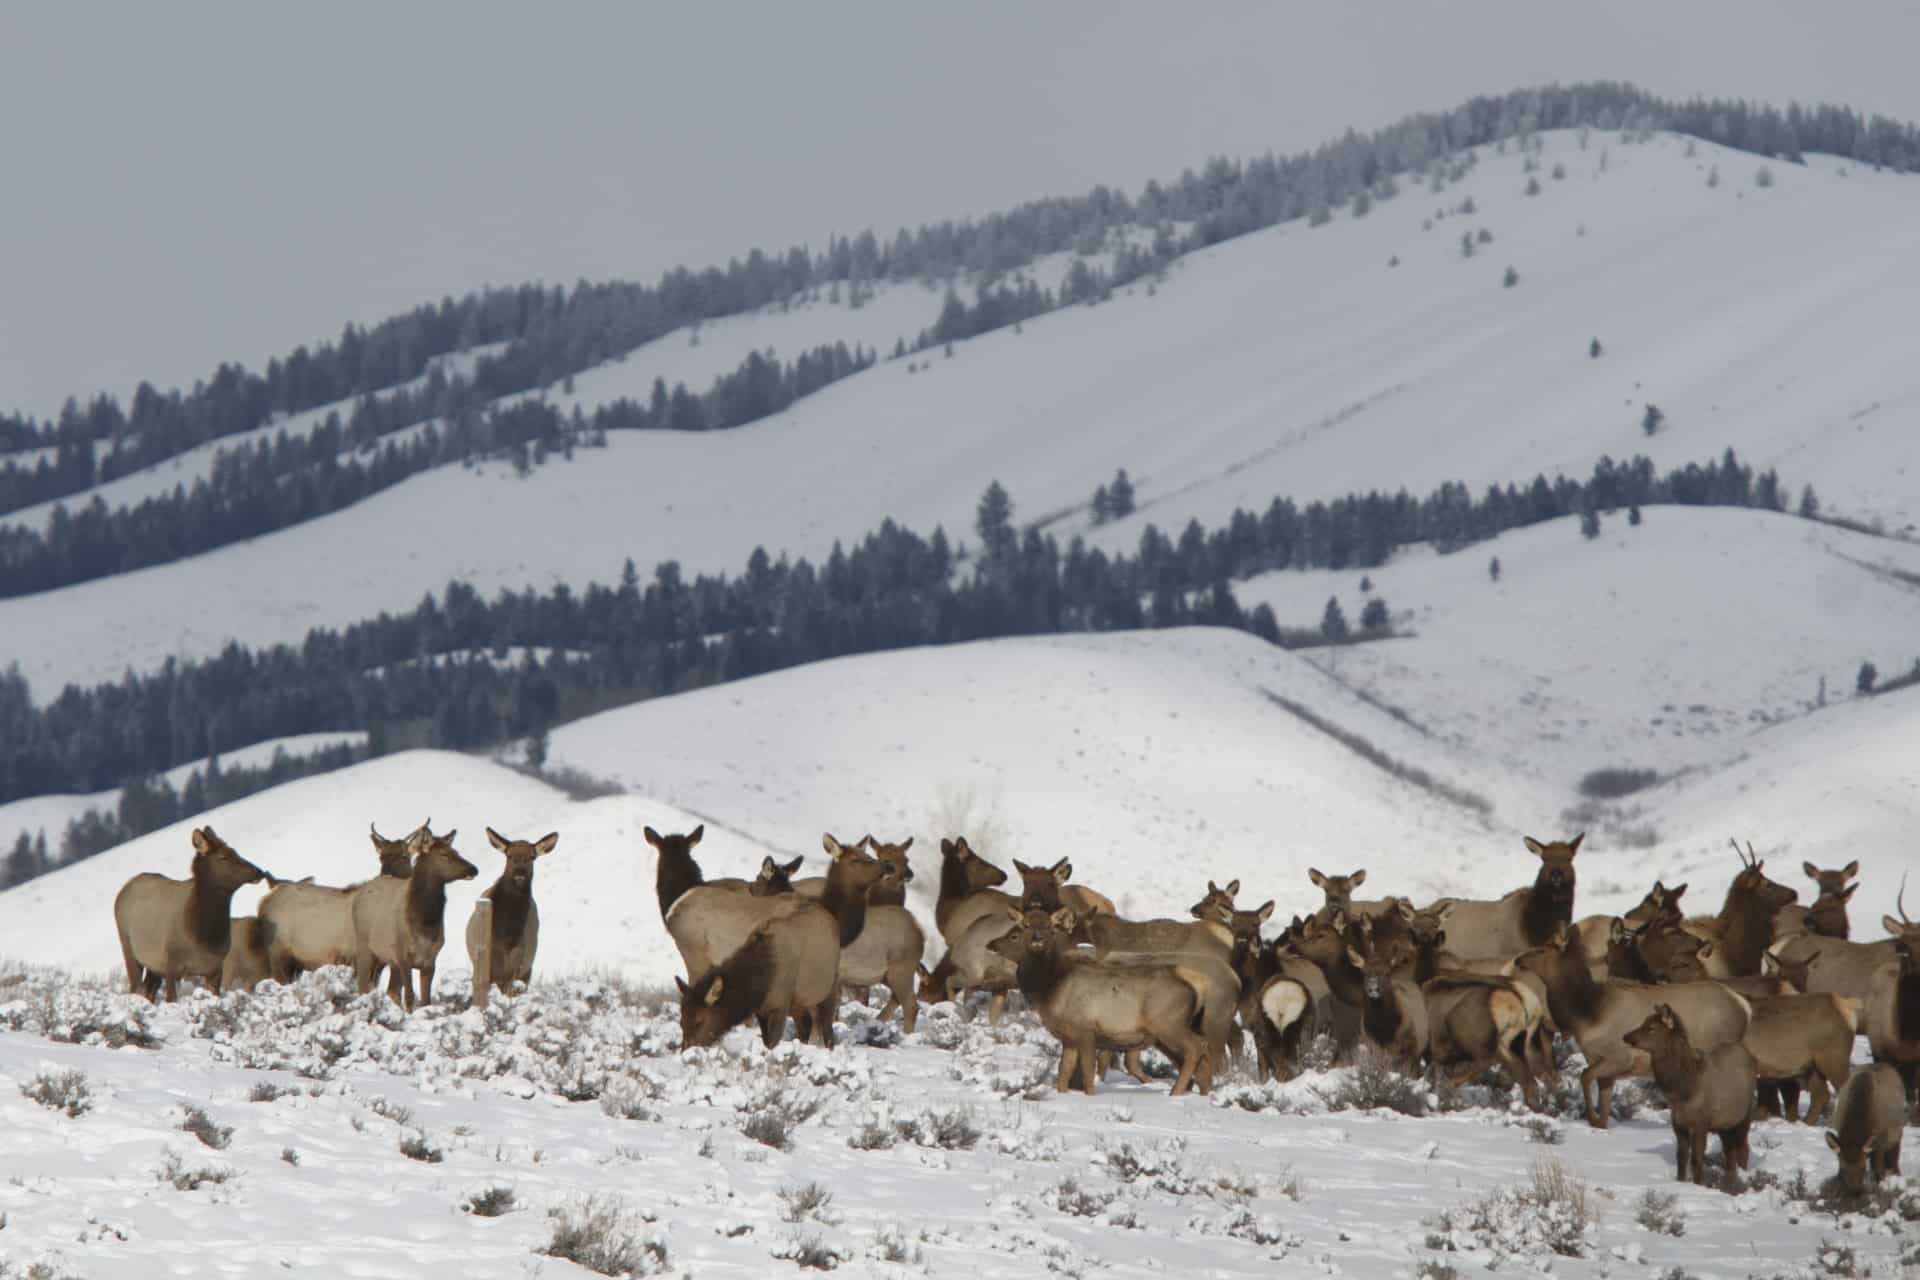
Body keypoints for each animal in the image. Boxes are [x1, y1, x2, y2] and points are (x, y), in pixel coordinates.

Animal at [113, 827, 269, 1003]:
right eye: (223, 857)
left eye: (236, 852)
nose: (258, 872)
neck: (203, 936)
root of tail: (123, 890)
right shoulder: (171, 964)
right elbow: (171, 998)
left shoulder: (215, 967)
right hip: (129, 949)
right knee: (135, 988)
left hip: (153, 966)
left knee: (148, 991)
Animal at [351, 826, 478, 1010]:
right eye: (444, 854)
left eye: (456, 851)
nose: (474, 869)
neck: (424, 925)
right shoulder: (402, 956)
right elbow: (410, 997)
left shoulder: (430, 959)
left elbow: (425, 1001)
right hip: (364, 948)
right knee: (363, 986)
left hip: (387, 960)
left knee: (391, 991)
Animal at [465, 827, 558, 999]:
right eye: (509, 855)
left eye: (532, 857)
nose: (519, 874)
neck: (505, 936)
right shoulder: (484, 964)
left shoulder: (516, 966)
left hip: (526, 970)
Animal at [1513, 923, 1751, 1128]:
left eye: (1542, 949)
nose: (1518, 960)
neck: (1586, 1014)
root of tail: (1744, 1006)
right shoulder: (1597, 1060)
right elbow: (1603, 1105)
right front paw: (1598, 1122)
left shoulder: (1619, 1056)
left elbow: (1584, 1076)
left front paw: (1590, 1117)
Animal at [1623, 1004, 1758, 1185]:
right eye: (1644, 1022)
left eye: (1651, 1028)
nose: (1626, 1036)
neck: (1682, 1092)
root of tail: (1751, 1057)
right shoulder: (1678, 1123)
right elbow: (1681, 1157)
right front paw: (1681, 1181)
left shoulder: (1700, 1123)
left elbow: (1696, 1159)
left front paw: (1699, 1184)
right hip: (1724, 1123)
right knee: (1730, 1152)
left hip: (1745, 1115)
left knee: (1743, 1148)